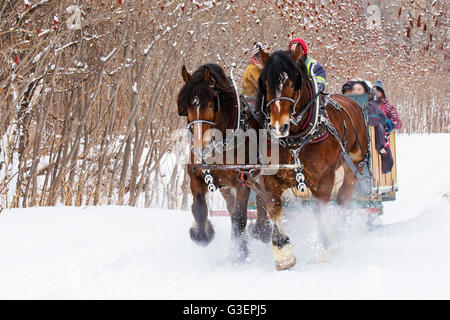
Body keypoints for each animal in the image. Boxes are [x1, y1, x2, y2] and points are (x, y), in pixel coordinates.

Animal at [178, 63, 270, 262]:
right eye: (186, 106)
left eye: (212, 105)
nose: (200, 147)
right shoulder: (196, 177)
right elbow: (199, 209)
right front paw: (202, 234)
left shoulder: (243, 180)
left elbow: (240, 218)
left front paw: (240, 254)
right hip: (226, 187)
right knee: (231, 206)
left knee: (261, 200)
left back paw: (262, 229)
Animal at [256, 46, 370, 268]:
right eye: (265, 84)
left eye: (292, 83)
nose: (278, 127)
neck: (295, 139)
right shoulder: (271, 179)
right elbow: (274, 208)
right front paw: (283, 254)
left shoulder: (323, 180)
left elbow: (320, 213)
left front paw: (321, 249)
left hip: (355, 164)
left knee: (343, 196)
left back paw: (338, 236)